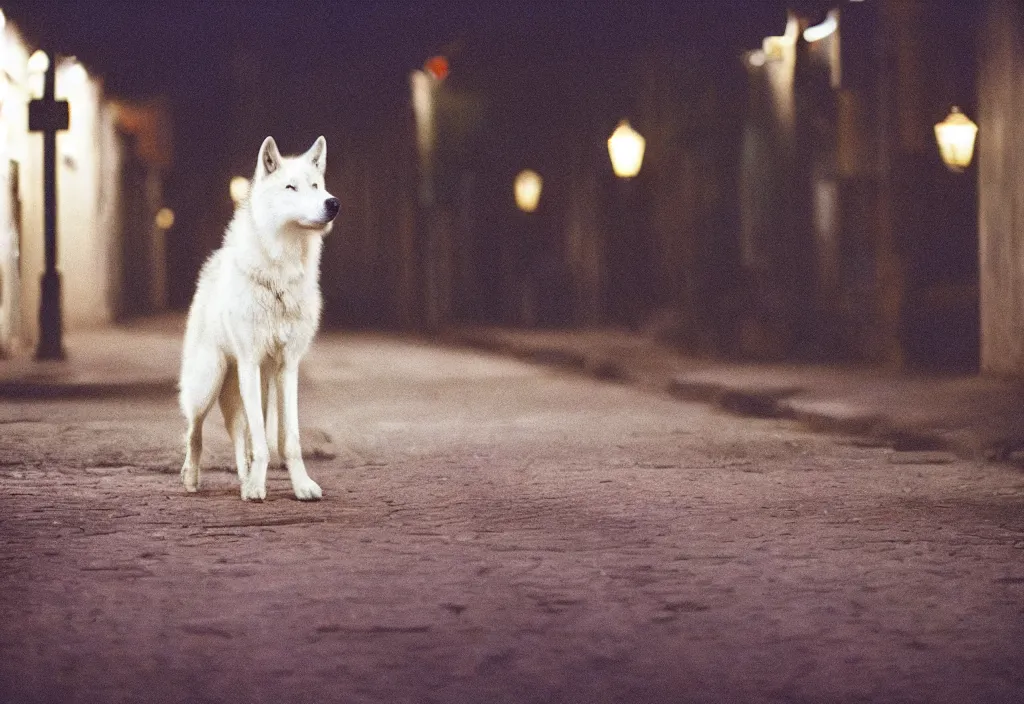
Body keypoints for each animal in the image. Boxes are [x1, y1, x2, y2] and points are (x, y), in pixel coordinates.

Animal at [180, 136, 339, 501]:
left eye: (316, 185)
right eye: (291, 187)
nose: (333, 203)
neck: (281, 278)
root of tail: (214, 262)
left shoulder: (287, 367)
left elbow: (287, 440)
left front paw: (300, 485)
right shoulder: (250, 362)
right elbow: (261, 443)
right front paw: (256, 487)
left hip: (252, 385)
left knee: (242, 435)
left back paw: (243, 477)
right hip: (210, 380)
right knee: (195, 430)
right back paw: (192, 478)